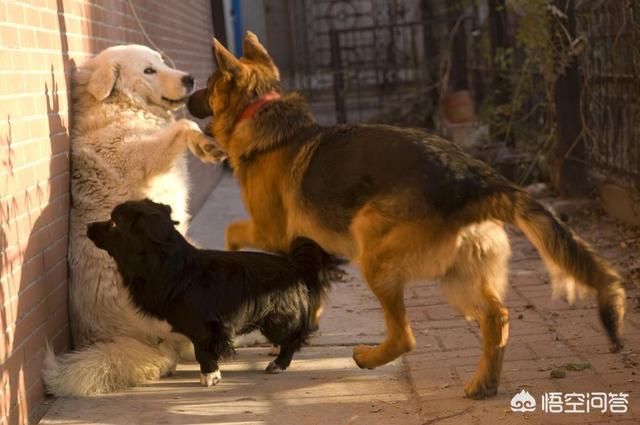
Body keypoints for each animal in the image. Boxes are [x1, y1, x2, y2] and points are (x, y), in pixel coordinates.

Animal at [43, 44, 222, 396]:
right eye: (148, 71)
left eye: (162, 62)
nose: (189, 78)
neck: (121, 106)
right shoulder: (143, 157)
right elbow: (182, 128)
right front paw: (202, 143)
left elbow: (184, 127)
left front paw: (205, 146)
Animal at [90, 198, 340, 384]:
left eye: (114, 223)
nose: (88, 227)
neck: (167, 267)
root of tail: (293, 265)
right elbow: (168, 345)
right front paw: (168, 366)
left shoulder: (204, 327)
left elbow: (203, 350)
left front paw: (210, 375)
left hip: (275, 320)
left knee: (294, 338)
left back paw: (278, 364)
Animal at [188, 33, 628, 398]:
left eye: (209, 84)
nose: (188, 91)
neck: (260, 114)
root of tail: (475, 178)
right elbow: (313, 287)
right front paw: (306, 323)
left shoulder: (269, 231)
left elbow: (232, 233)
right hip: (456, 276)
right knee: (497, 316)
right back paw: (483, 384)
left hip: (375, 252)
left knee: (406, 337)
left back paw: (368, 357)